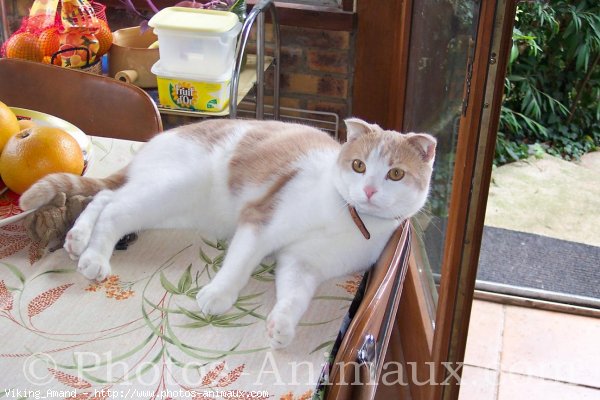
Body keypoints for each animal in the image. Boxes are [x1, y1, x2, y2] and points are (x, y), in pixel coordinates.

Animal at [19, 117, 436, 348]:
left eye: (395, 174)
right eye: (358, 165)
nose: (369, 190)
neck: (346, 216)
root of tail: (156, 142)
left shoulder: (302, 264)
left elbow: (295, 296)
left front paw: (282, 324)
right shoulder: (260, 220)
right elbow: (239, 264)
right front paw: (218, 294)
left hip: (170, 207)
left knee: (105, 198)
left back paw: (78, 241)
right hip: (175, 186)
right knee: (113, 210)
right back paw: (93, 256)